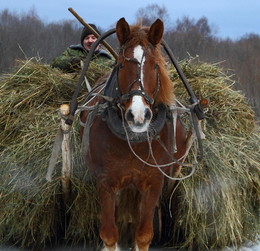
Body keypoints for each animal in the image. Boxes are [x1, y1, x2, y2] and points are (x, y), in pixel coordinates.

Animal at [80, 17, 192, 251]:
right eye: (121, 64)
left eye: (155, 65)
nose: (138, 115)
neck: (134, 140)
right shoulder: (106, 182)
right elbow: (109, 234)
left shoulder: (153, 183)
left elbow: (143, 235)